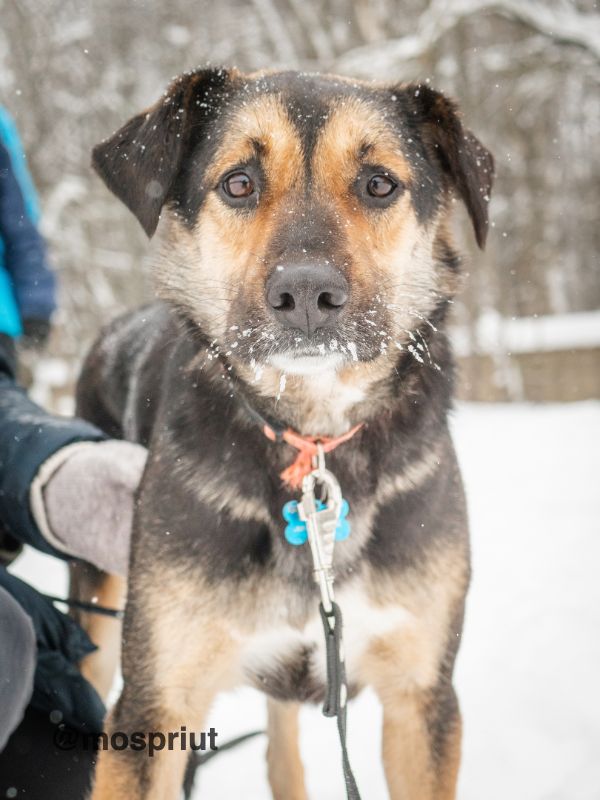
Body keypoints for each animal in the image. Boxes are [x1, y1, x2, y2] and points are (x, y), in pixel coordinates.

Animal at [78, 67, 492, 800]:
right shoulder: (154, 705)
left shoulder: (422, 697)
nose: (305, 294)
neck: (315, 436)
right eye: (238, 182)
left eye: (378, 184)